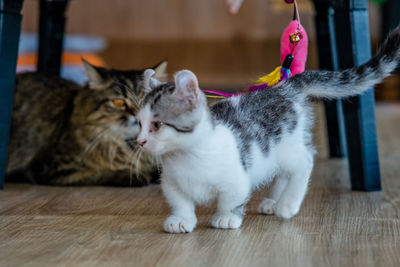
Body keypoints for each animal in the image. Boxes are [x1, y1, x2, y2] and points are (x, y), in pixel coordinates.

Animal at [136, 26, 398, 232]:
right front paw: (181, 219)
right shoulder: (171, 182)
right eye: (139, 123)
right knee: (284, 172)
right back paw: (275, 200)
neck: (187, 156)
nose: (139, 141)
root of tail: (284, 88)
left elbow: (231, 199)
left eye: (157, 125)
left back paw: (287, 204)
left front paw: (226, 217)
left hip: (286, 146)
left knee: (304, 161)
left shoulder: (237, 178)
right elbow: (180, 201)